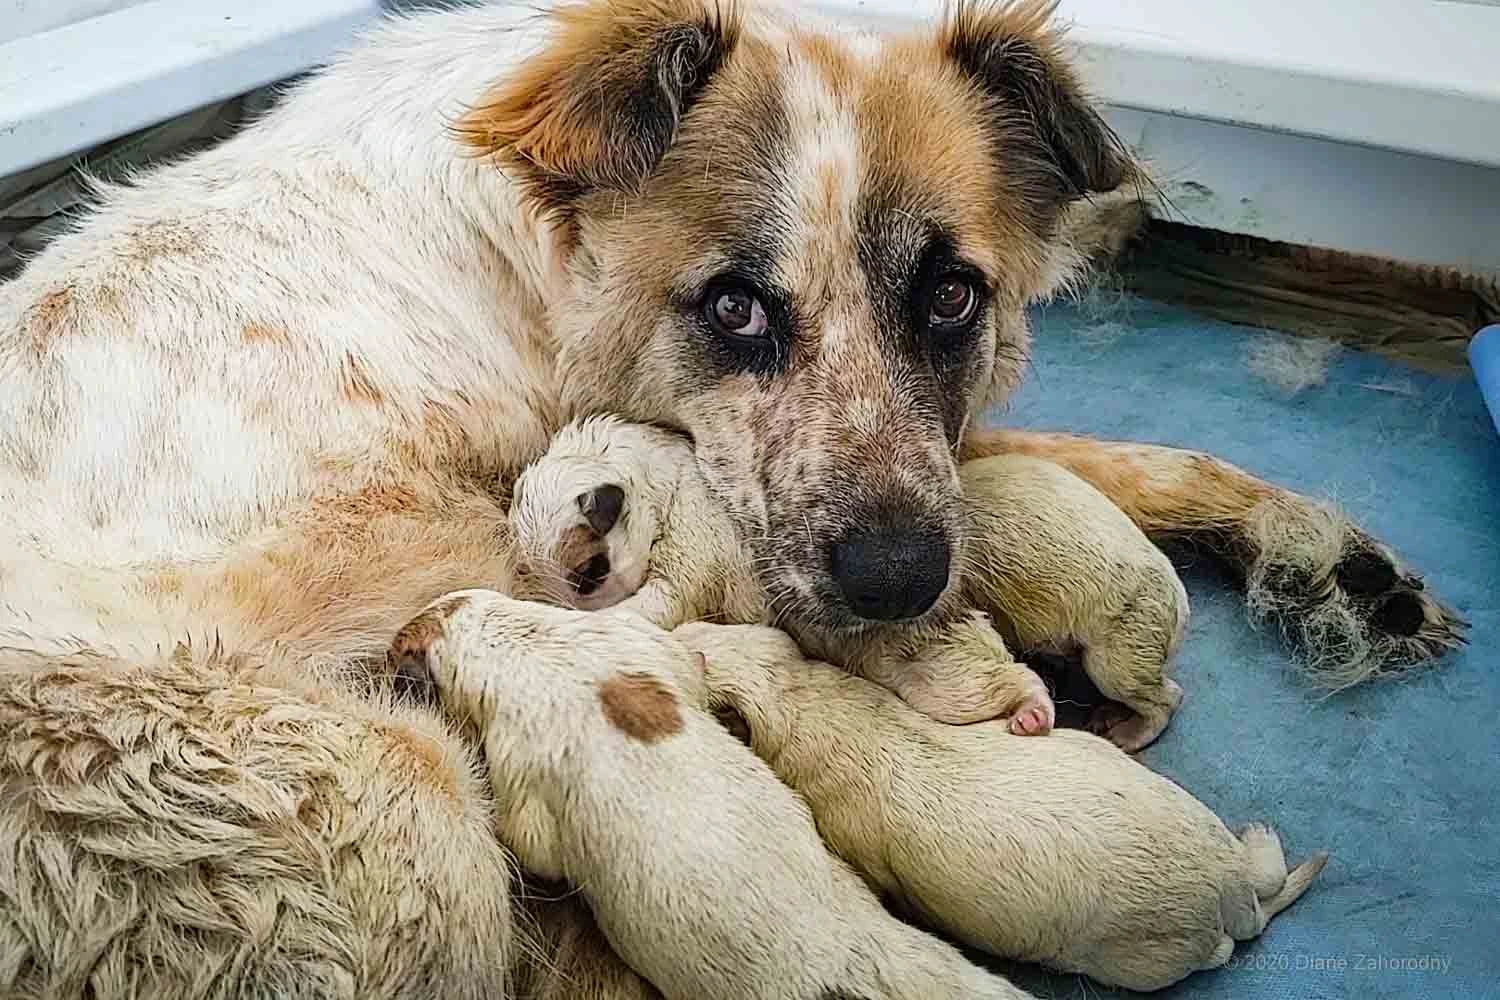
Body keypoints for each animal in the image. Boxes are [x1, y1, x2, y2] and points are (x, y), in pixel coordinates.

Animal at [516, 413, 1056, 734]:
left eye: (591, 573)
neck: (663, 485)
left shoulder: (687, 561)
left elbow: (658, 601)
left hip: (948, 682)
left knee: (1018, 679)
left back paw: (1034, 712)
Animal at [675, 620, 1332, 995]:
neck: (798, 699)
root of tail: (1229, 884)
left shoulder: (850, 840)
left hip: (1148, 956)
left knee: (1227, 943)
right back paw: (1260, 837)